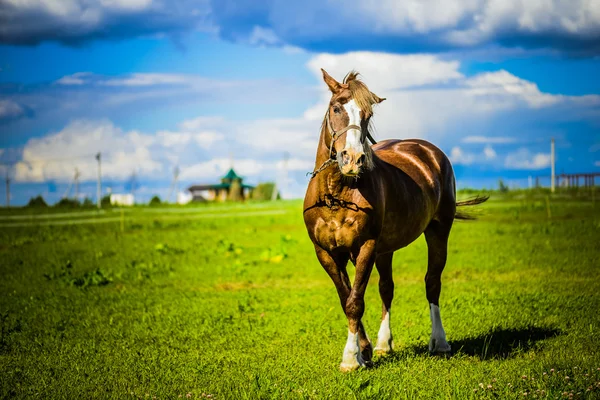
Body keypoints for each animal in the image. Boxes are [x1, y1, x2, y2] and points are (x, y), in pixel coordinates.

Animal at [304, 69, 488, 372]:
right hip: (385, 249)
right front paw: (364, 351)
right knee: (386, 288)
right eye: (336, 108)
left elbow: (355, 302)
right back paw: (383, 344)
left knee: (432, 282)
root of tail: (430, 151)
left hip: (438, 231)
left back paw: (439, 342)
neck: (335, 195)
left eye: (367, 114)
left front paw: (350, 358)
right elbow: (348, 298)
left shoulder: (366, 247)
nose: (353, 159)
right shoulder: (327, 253)